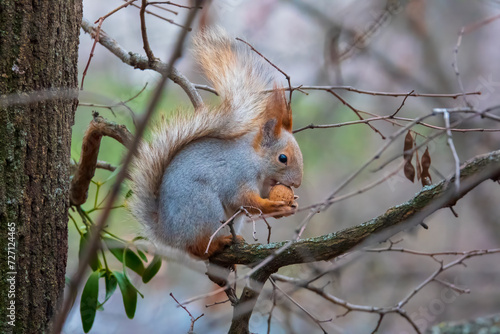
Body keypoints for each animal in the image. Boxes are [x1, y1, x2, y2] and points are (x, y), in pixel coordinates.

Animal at [127, 28, 302, 258]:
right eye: (283, 158)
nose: (297, 183)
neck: (254, 160)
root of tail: (168, 235)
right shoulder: (236, 176)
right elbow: (243, 200)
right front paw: (273, 207)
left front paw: (291, 206)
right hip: (204, 206)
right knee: (197, 248)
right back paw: (218, 244)